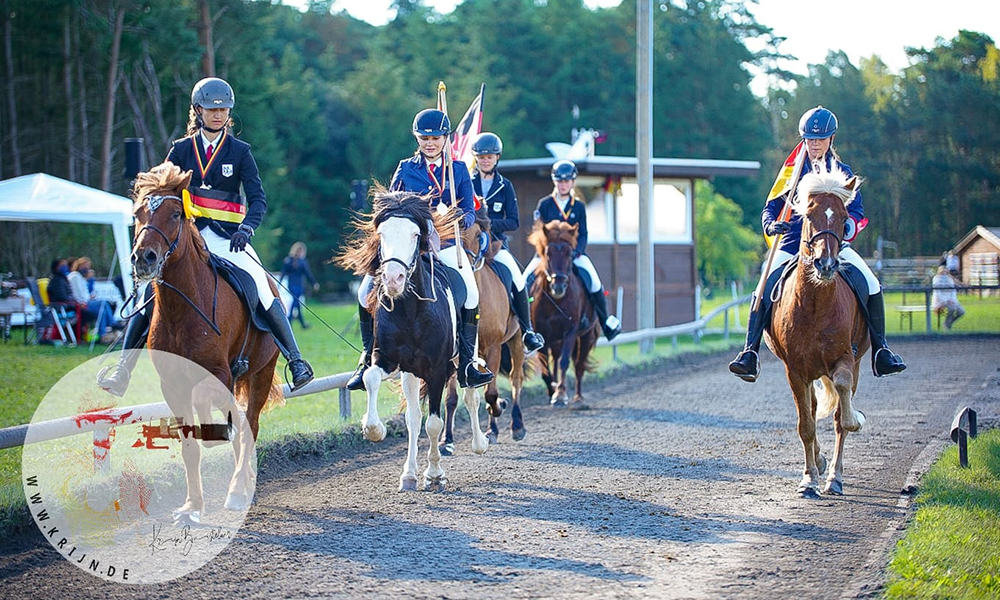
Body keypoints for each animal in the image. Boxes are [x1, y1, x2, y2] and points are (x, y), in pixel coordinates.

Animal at [130, 162, 282, 524]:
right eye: (138, 213)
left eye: (175, 214)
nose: (144, 258)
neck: (181, 308)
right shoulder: (171, 386)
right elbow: (189, 446)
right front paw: (192, 507)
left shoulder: (219, 374)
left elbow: (210, 408)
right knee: (239, 423)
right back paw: (244, 479)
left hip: (262, 371)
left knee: (250, 422)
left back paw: (239, 489)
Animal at [338, 190, 490, 490]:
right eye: (381, 234)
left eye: (415, 234)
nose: (392, 280)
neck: (410, 310)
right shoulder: (386, 359)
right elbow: (373, 380)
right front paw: (373, 429)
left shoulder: (437, 370)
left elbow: (434, 423)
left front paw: (435, 474)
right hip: (409, 372)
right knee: (413, 417)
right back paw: (408, 474)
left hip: (465, 356)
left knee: (471, 394)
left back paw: (479, 443)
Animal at [442, 207, 528, 454]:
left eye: (479, 236)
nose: (462, 267)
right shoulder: (456, 355)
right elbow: (451, 397)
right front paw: (446, 440)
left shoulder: (494, 347)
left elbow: (491, 393)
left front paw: (497, 409)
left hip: (516, 340)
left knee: (515, 378)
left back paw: (516, 425)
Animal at [528, 223, 596, 410]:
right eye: (548, 253)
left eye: (570, 253)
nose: (558, 287)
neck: (554, 301)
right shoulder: (541, 334)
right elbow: (545, 369)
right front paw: (553, 391)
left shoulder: (570, 331)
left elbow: (565, 362)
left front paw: (560, 394)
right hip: (554, 340)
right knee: (556, 362)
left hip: (586, 336)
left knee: (579, 365)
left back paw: (578, 398)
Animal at [764, 168, 868, 496]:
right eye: (808, 215)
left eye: (844, 218)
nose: (825, 264)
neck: (814, 304)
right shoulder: (795, 370)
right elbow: (806, 425)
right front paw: (809, 478)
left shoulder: (845, 358)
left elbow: (842, 407)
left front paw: (853, 419)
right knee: (809, 409)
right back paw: (820, 464)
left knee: (836, 414)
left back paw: (835, 476)